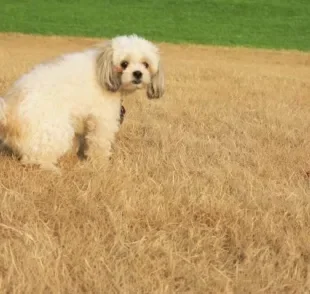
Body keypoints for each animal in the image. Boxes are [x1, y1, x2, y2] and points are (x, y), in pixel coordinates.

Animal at [0, 34, 165, 172]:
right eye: (124, 64)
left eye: (145, 64)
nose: (138, 73)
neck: (101, 68)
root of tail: (10, 109)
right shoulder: (103, 119)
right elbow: (99, 144)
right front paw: (101, 165)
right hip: (55, 130)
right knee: (33, 159)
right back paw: (51, 168)